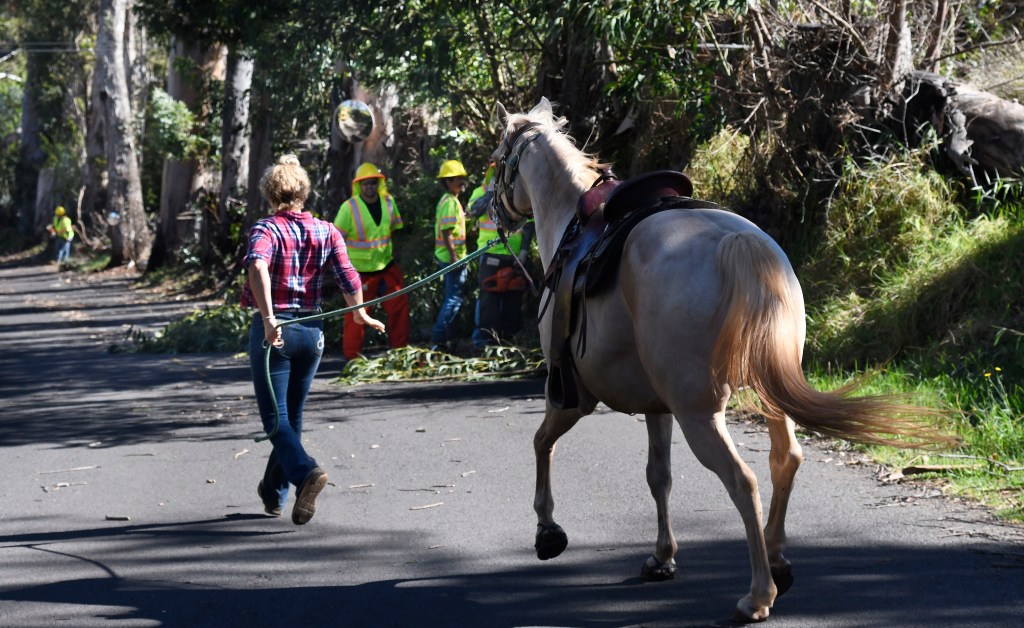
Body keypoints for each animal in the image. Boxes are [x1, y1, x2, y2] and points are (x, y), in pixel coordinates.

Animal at [491, 100, 946, 618]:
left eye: (497, 159)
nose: (490, 210)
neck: (573, 223)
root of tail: (738, 244)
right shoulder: (657, 406)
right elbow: (658, 476)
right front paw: (662, 557)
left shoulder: (572, 398)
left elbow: (541, 443)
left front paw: (548, 530)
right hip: (766, 394)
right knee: (785, 459)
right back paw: (776, 558)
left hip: (700, 413)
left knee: (742, 480)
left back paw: (758, 594)